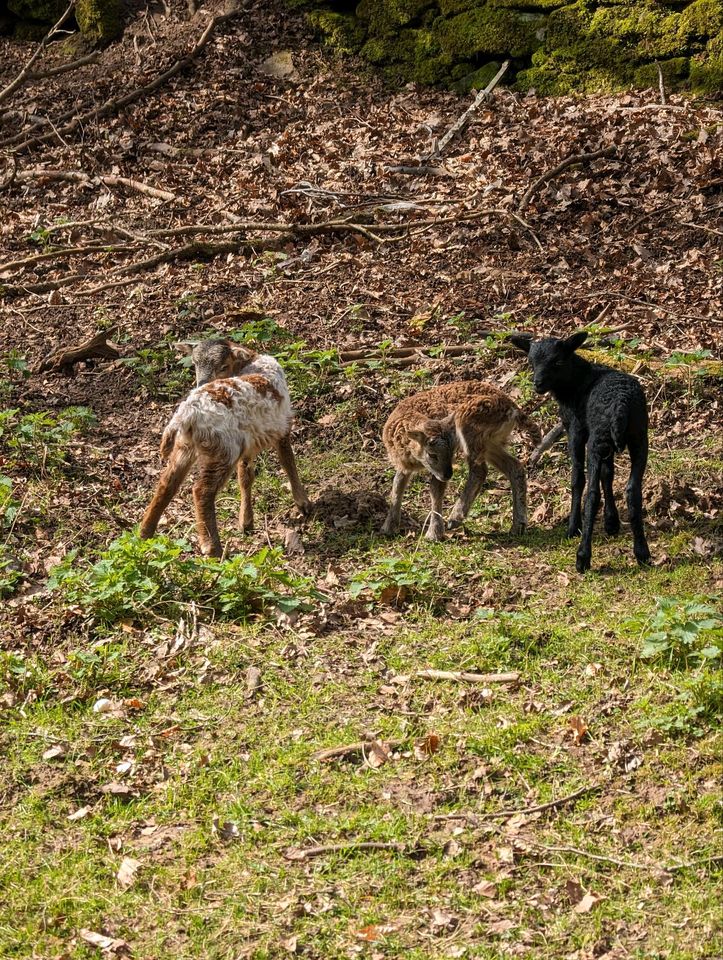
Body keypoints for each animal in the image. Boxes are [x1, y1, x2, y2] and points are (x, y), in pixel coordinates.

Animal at [140, 338, 310, 560]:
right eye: (194, 364)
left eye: (222, 366)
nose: (201, 382)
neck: (251, 362)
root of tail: (186, 414)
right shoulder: (282, 425)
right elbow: (288, 461)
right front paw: (304, 504)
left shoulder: (249, 443)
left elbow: (245, 477)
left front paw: (246, 522)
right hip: (223, 449)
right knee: (201, 491)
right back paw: (213, 548)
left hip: (187, 445)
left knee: (167, 484)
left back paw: (145, 533)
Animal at [382, 380, 540, 540]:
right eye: (432, 455)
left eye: (451, 452)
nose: (448, 475)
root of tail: (512, 408)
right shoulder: (405, 466)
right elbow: (397, 486)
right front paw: (388, 528)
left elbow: (435, 491)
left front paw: (433, 534)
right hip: (489, 442)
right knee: (515, 468)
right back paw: (518, 526)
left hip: (469, 427)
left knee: (479, 471)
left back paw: (454, 518)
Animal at [510, 332, 652, 568]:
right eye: (531, 362)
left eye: (557, 362)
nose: (537, 384)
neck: (577, 382)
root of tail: (621, 405)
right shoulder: (606, 443)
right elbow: (608, 473)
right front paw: (611, 523)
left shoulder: (576, 430)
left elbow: (578, 478)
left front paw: (572, 528)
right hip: (637, 438)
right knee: (633, 490)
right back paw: (642, 553)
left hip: (597, 440)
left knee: (592, 494)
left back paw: (583, 556)